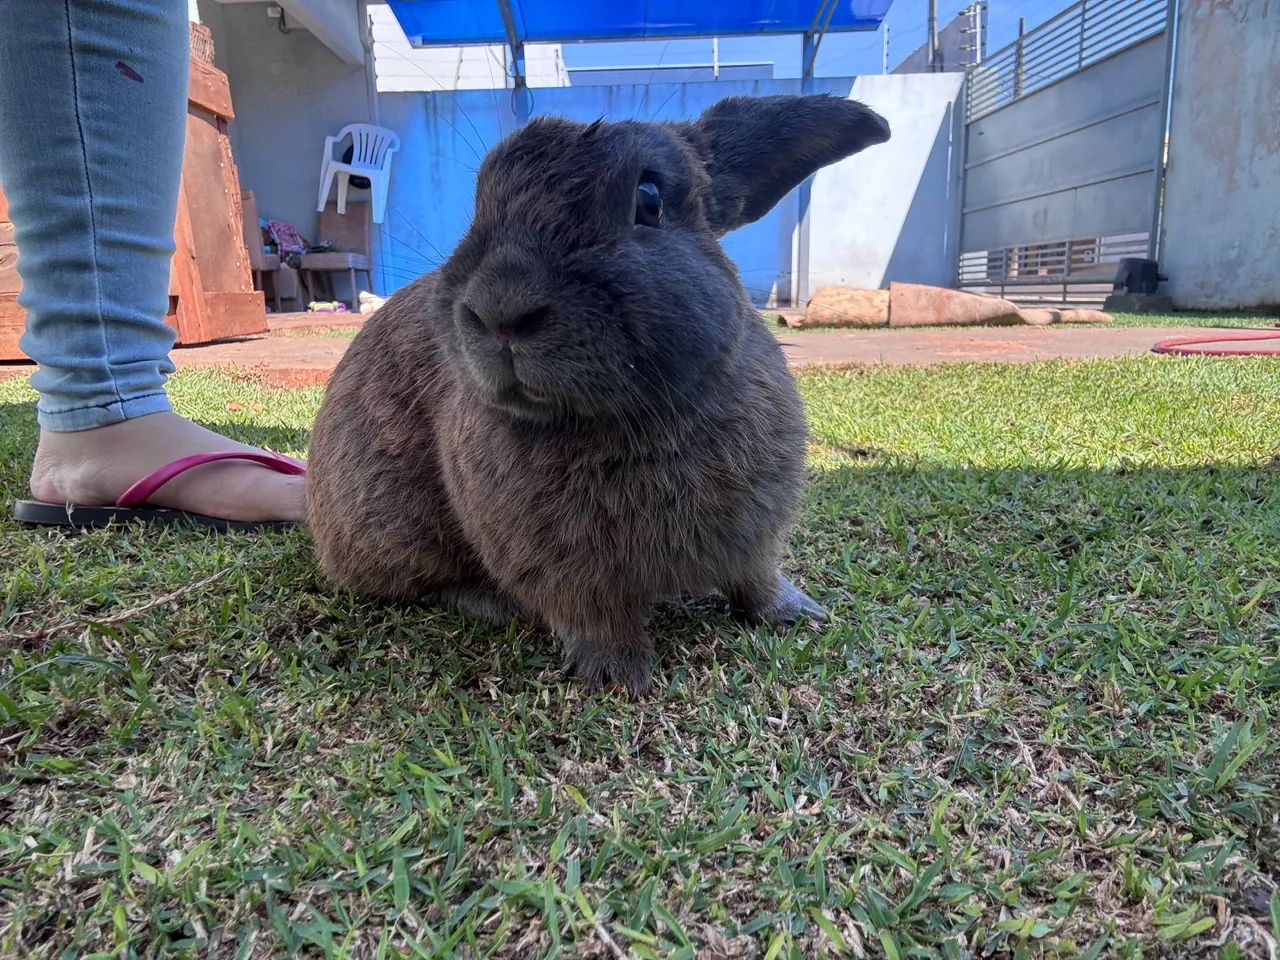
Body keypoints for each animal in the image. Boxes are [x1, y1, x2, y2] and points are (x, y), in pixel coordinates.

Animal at [306, 94, 891, 694]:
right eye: (479, 202)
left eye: (650, 199)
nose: (501, 309)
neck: (627, 417)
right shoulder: (564, 572)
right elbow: (595, 619)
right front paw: (622, 677)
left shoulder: (754, 537)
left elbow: (758, 579)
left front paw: (797, 613)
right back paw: (491, 601)